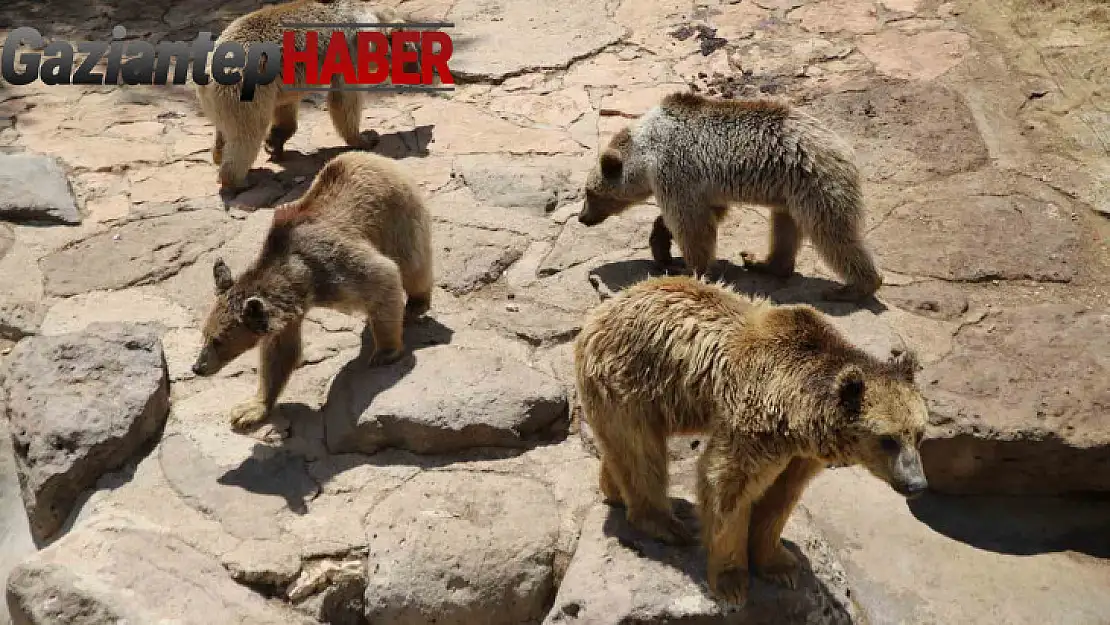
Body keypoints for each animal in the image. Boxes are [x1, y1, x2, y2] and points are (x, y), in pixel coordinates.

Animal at [190, 152, 432, 432]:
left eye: (219, 340)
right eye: (205, 334)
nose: (197, 367)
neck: (303, 282)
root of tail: (377, 158)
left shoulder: (333, 267)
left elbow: (383, 277)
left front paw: (385, 352)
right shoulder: (287, 316)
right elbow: (280, 355)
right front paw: (249, 409)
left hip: (397, 214)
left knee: (412, 265)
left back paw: (416, 303)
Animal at [577, 275, 932, 608]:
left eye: (919, 433)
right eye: (887, 440)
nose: (916, 484)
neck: (798, 411)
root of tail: (603, 310)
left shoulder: (800, 453)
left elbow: (780, 497)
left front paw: (781, 565)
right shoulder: (756, 423)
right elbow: (728, 485)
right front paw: (732, 581)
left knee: (624, 449)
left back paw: (613, 490)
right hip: (628, 380)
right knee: (641, 451)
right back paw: (664, 523)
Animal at [581, 91, 883, 304]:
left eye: (589, 193)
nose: (582, 218)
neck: (645, 154)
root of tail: (844, 148)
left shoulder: (676, 169)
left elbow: (692, 225)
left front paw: (689, 268)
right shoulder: (700, 186)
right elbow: (705, 213)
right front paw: (661, 247)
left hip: (815, 182)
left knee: (832, 233)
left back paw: (854, 288)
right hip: (789, 192)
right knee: (785, 227)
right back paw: (762, 262)